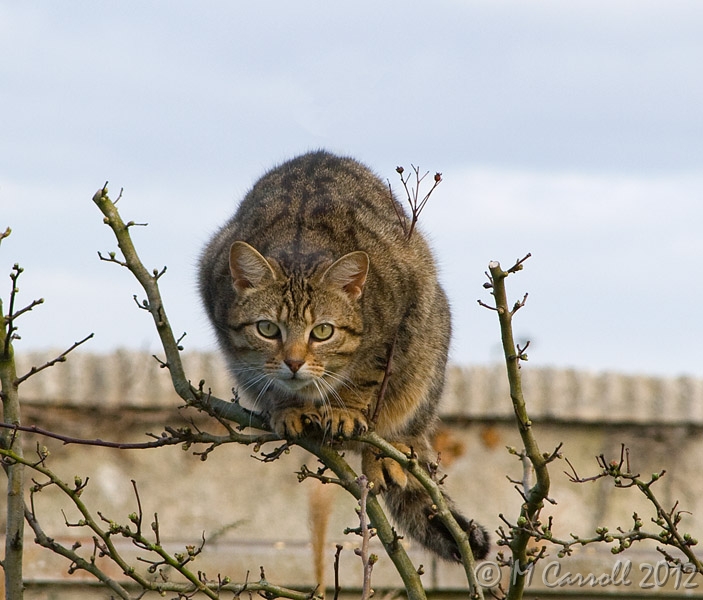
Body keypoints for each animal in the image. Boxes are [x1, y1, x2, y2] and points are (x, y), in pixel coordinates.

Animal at [198, 151, 490, 564]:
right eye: (267, 329)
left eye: (323, 331)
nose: (293, 362)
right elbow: (268, 382)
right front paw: (287, 407)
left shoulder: (399, 319)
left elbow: (367, 373)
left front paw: (344, 409)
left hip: (430, 344)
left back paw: (387, 450)